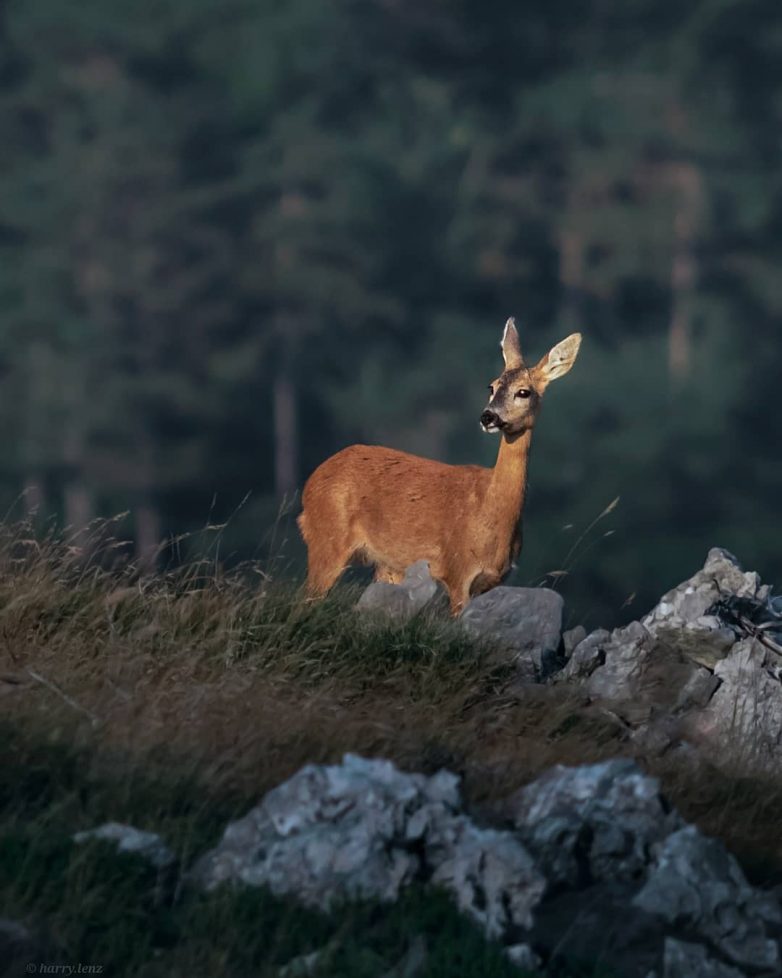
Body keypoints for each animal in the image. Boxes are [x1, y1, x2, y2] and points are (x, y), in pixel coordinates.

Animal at [298, 318, 580, 608]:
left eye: (523, 392)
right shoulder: (458, 570)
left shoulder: (494, 582)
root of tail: (311, 482)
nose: (488, 416)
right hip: (327, 539)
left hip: (387, 566)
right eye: (491, 386)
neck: (491, 513)